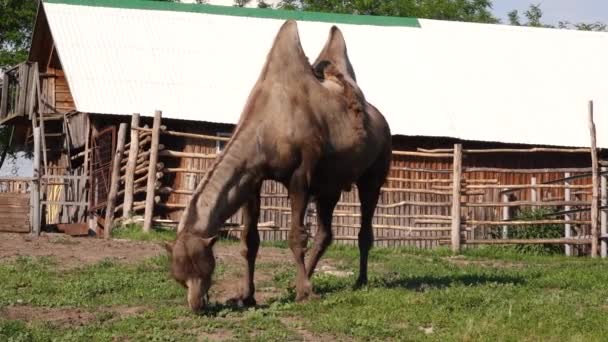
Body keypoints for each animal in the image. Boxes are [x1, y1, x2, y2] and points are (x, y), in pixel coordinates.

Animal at [164, 20, 392, 312]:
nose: (197, 304)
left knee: (364, 227)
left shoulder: (300, 176)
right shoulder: (253, 177)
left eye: (204, 268)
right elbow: (249, 241)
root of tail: (381, 120)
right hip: (329, 186)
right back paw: (306, 279)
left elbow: (296, 237)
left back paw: (359, 281)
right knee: (325, 233)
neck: (266, 127)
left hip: (374, 171)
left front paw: (305, 293)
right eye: (179, 276)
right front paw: (247, 296)